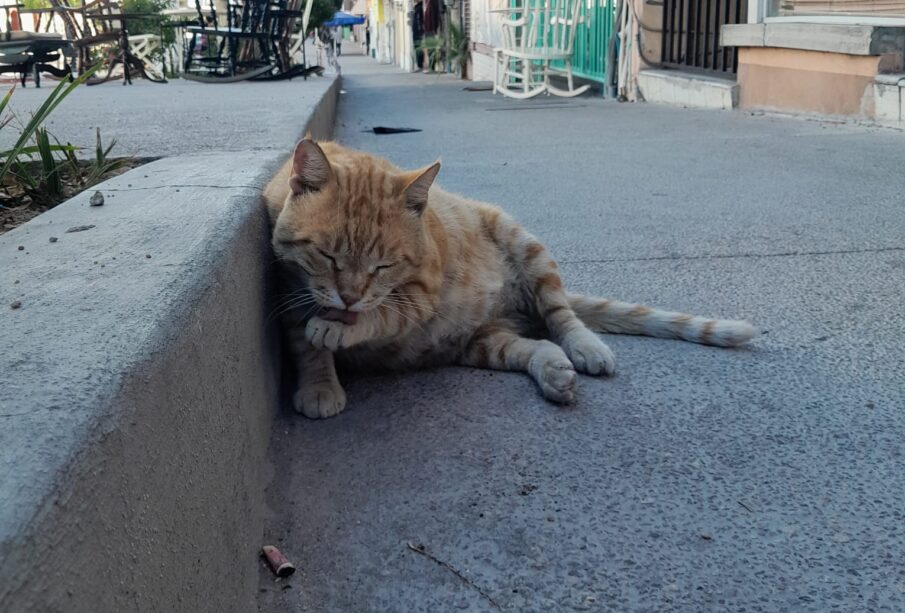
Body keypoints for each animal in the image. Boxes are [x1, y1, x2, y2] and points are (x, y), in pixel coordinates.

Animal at [264, 140, 756, 416]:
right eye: (326, 255)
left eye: (383, 265)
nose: (348, 296)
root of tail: (509, 304)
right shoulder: (287, 290)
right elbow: (305, 345)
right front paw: (320, 384)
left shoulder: (419, 297)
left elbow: (380, 315)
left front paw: (338, 327)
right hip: (475, 342)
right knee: (532, 346)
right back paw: (554, 371)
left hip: (526, 246)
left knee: (561, 317)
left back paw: (585, 349)